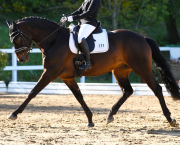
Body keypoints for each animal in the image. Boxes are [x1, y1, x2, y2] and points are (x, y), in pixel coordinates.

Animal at [6, 16, 179, 126]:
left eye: (17, 38)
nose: (22, 59)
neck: (53, 40)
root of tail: (142, 38)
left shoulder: (50, 73)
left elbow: (32, 92)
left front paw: (14, 114)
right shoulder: (67, 78)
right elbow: (79, 97)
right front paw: (90, 120)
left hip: (142, 68)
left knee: (157, 89)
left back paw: (170, 119)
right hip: (120, 71)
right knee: (127, 91)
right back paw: (110, 115)